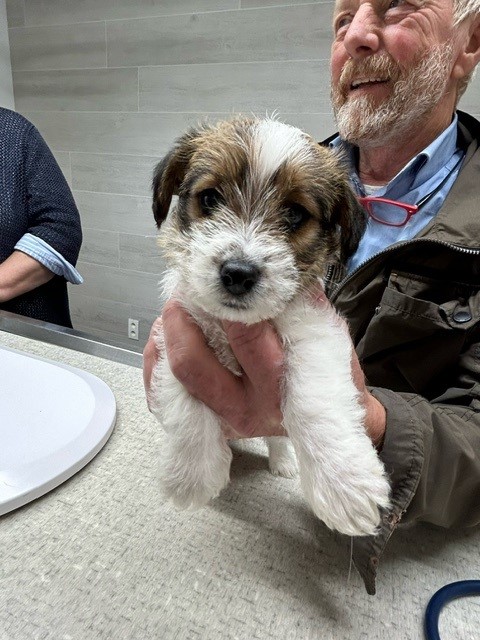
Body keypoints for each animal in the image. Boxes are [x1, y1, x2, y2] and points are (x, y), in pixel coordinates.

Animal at [150, 115, 390, 536]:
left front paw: (344, 482)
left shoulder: (317, 334)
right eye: (210, 199)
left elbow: (314, 400)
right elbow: (186, 401)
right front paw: (190, 475)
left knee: (277, 435)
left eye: (294, 214)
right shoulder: (178, 333)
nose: (238, 273)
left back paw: (285, 462)